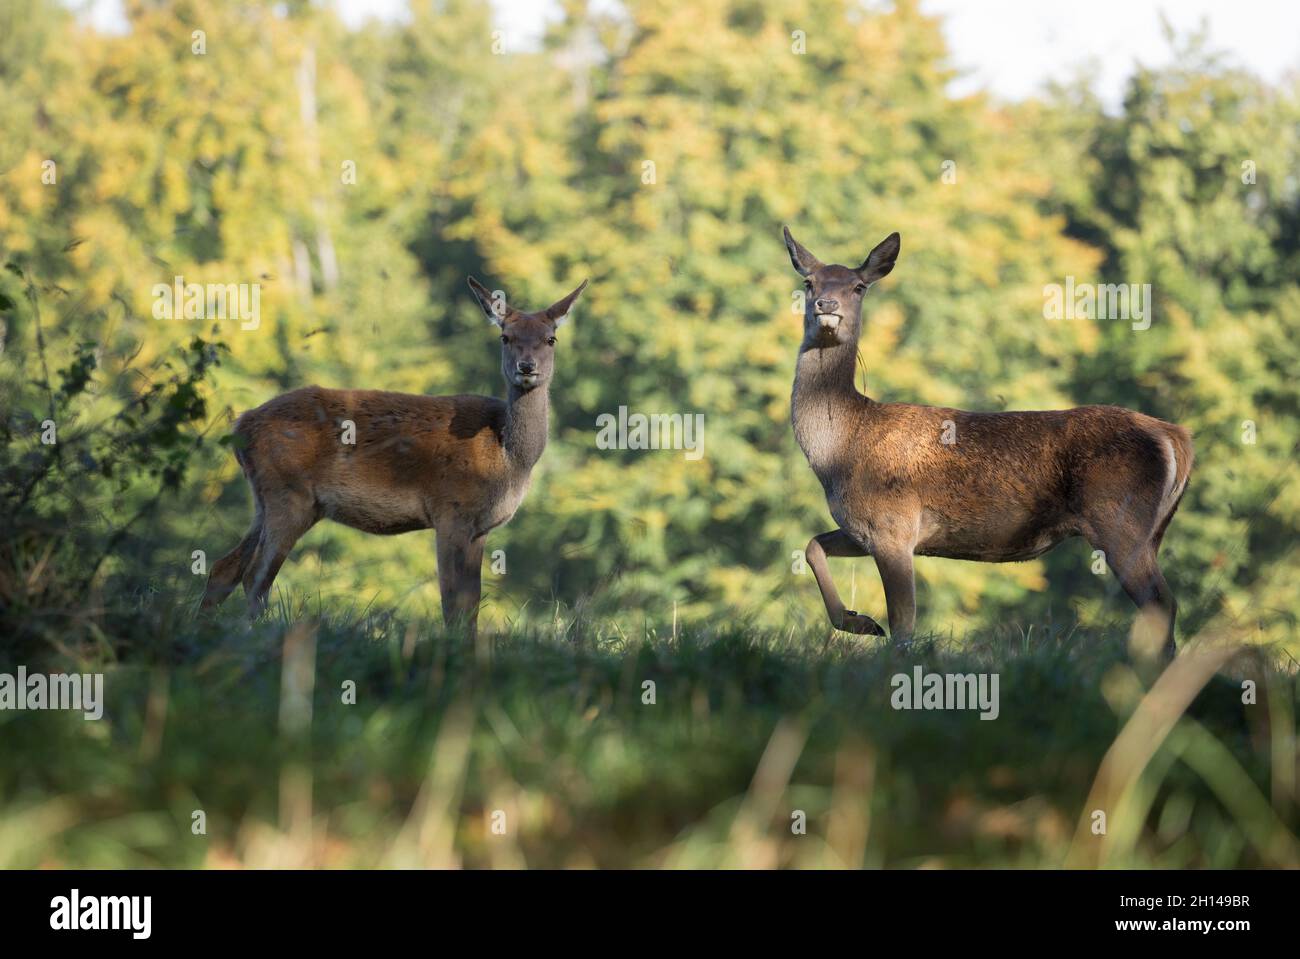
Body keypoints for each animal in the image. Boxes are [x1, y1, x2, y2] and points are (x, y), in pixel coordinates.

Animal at [200, 275, 589, 639]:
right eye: (505, 337)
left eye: (551, 338)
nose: (527, 366)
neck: (508, 457)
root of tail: (241, 425)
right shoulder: (451, 510)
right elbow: (452, 600)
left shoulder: (480, 528)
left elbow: (471, 602)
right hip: (288, 493)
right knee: (255, 576)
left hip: (269, 499)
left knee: (224, 567)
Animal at [783, 226, 1193, 659]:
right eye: (808, 282)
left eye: (858, 286)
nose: (827, 305)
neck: (840, 453)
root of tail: (1176, 437)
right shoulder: (863, 529)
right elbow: (812, 545)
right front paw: (858, 621)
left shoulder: (893, 526)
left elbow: (904, 624)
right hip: (1151, 531)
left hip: (1119, 520)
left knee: (1160, 602)